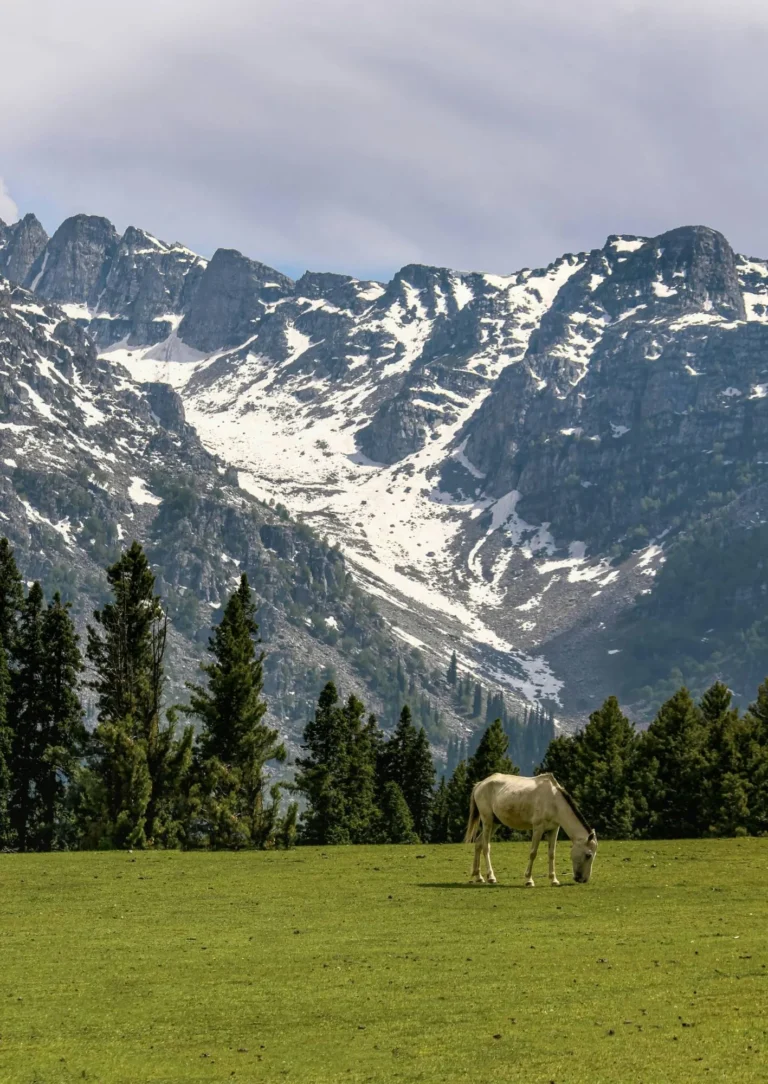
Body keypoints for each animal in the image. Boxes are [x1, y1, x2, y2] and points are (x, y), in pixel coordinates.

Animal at [464, 772, 598, 886]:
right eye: (588, 855)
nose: (583, 879)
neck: (554, 801)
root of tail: (480, 784)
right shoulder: (538, 828)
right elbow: (533, 852)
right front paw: (529, 880)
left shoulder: (554, 829)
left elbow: (552, 854)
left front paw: (554, 880)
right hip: (487, 820)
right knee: (485, 846)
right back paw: (491, 877)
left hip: (495, 823)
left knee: (478, 842)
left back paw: (479, 876)